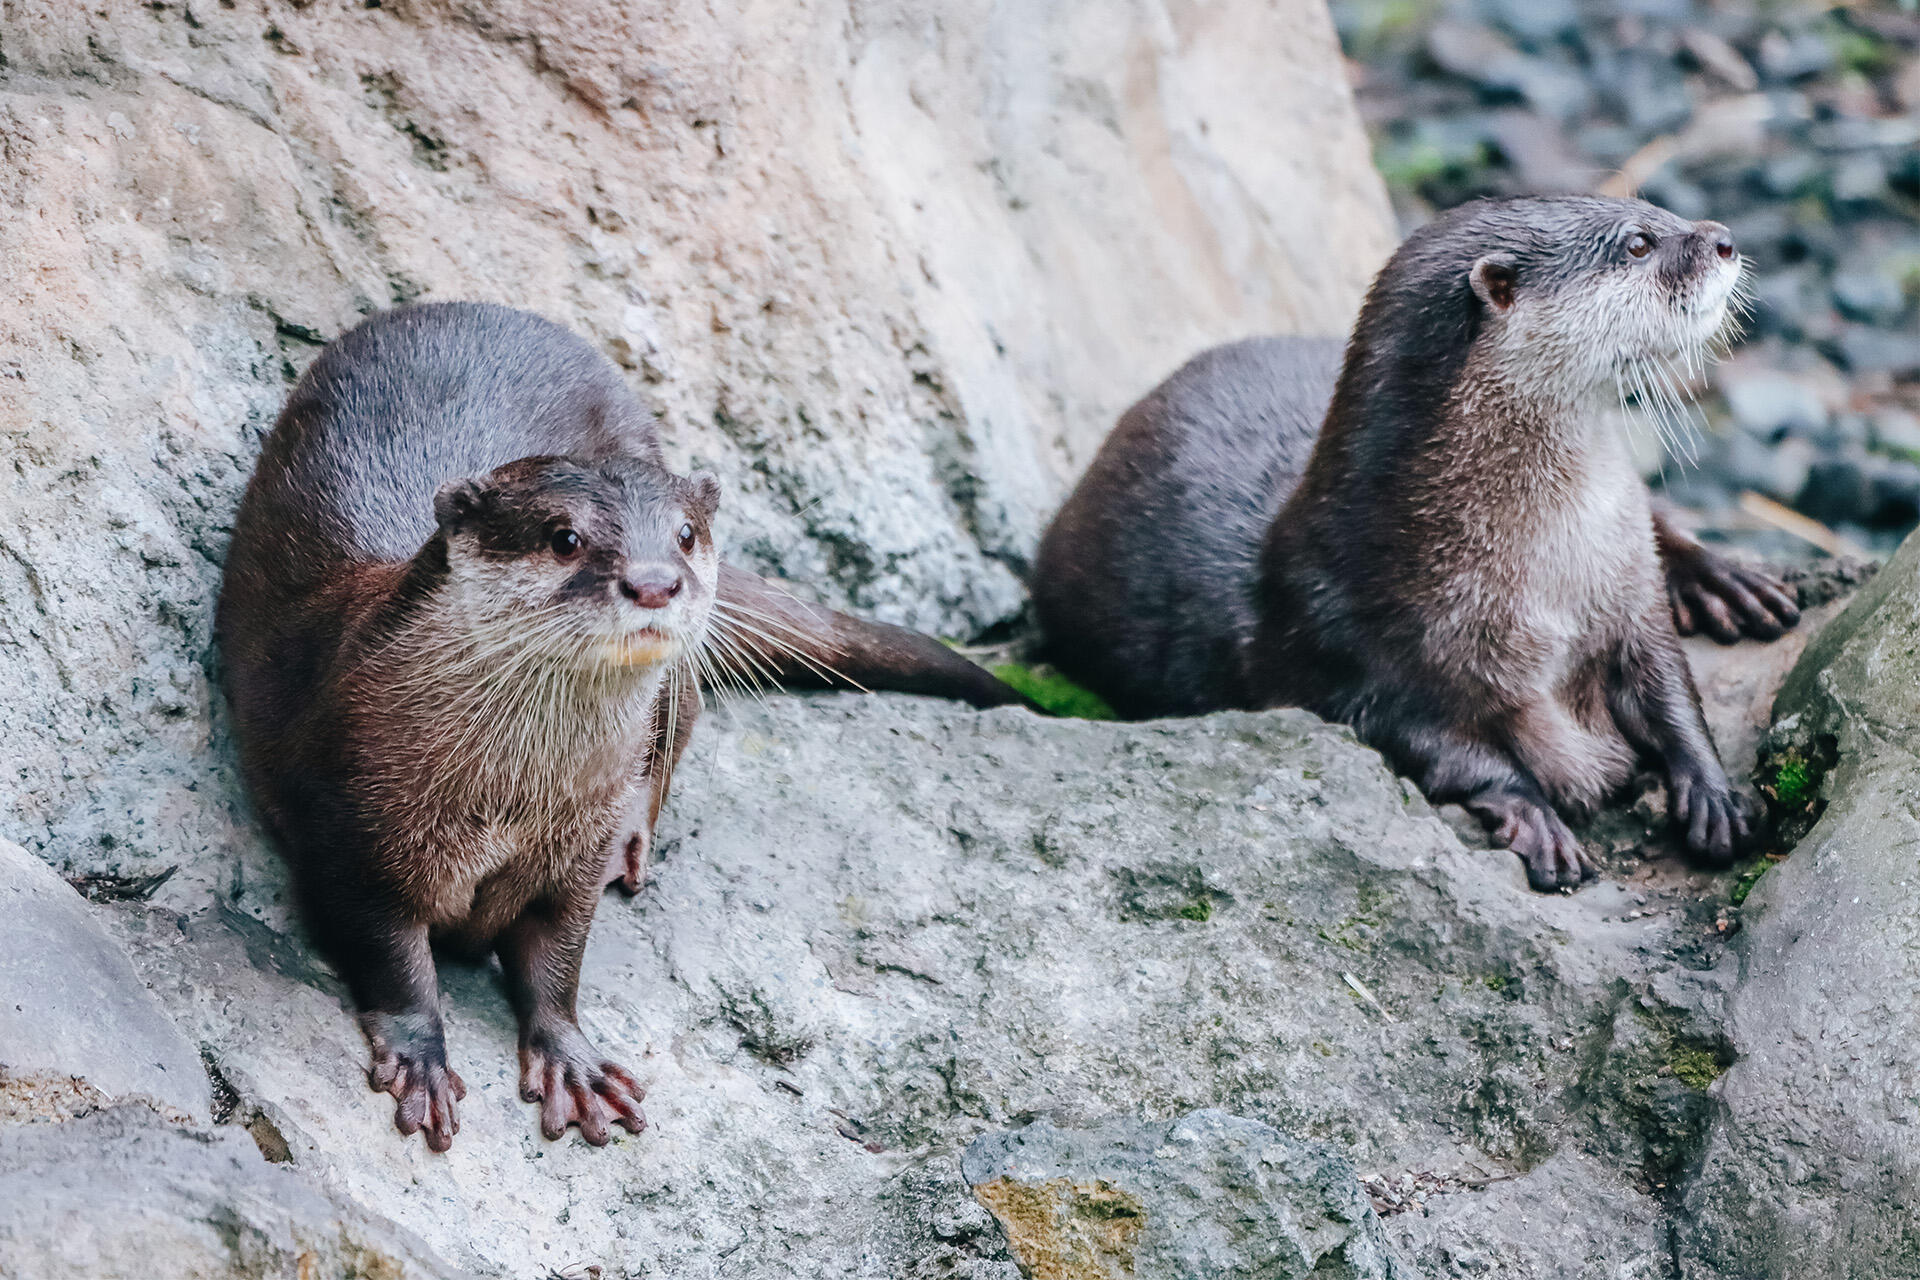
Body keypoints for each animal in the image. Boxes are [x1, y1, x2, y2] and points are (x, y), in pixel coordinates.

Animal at [219, 302, 1023, 1150]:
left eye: (685, 535)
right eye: (564, 537)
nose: (655, 582)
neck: (510, 796)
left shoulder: (570, 853)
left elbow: (561, 953)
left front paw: (571, 1058)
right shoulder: (350, 830)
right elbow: (388, 953)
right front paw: (421, 1057)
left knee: (685, 711)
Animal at [1033, 196, 1800, 891]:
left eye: (1657, 210)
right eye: (1639, 243)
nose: (1725, 240)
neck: (1547, 574)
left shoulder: (1626, 590)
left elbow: (1671, 685)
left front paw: (1712, 792)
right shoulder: (1357, 664)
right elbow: (1446, 753)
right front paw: (1535, 816)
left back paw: (1729, 583)